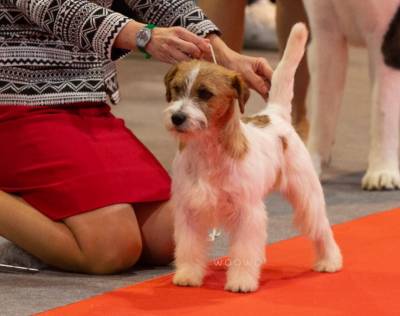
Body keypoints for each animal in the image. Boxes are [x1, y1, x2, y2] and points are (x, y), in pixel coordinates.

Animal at [164, 23, 342, 292]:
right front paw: (188, 274)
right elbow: (189, 247)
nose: (177, 118)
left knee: (321, 228)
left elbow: (244, 250)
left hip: (307, 195)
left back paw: (329, 260)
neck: (207, 149)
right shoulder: (189, 210)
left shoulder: (247, 214)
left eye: (205, 94)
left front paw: (241, 281)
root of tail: (275, 114)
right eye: (176, 89)